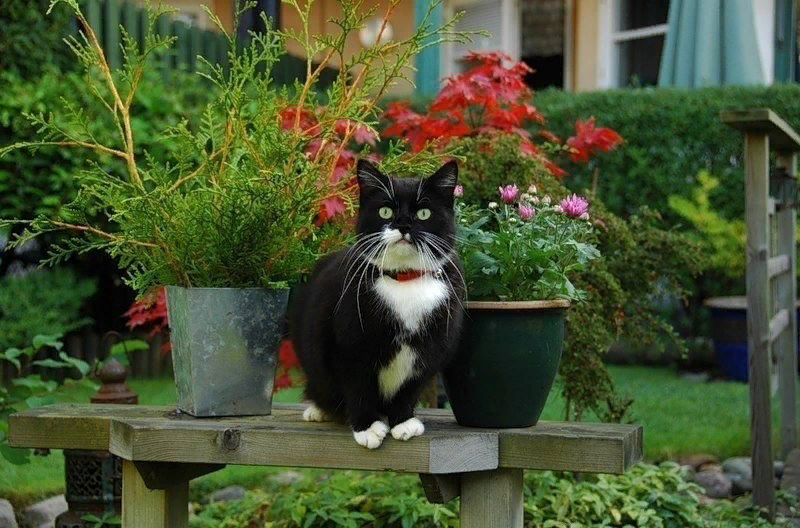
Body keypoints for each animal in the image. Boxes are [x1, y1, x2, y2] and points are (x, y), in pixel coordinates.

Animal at [290, 158, 466, 450]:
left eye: (424, 213)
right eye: (385, 211)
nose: (403, 224)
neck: (404, 281)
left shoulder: (431, 347)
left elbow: (409, 387)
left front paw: (403, 422)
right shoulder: (348, 345)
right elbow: (358, 385)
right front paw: (367, 428)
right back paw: (318, 410)